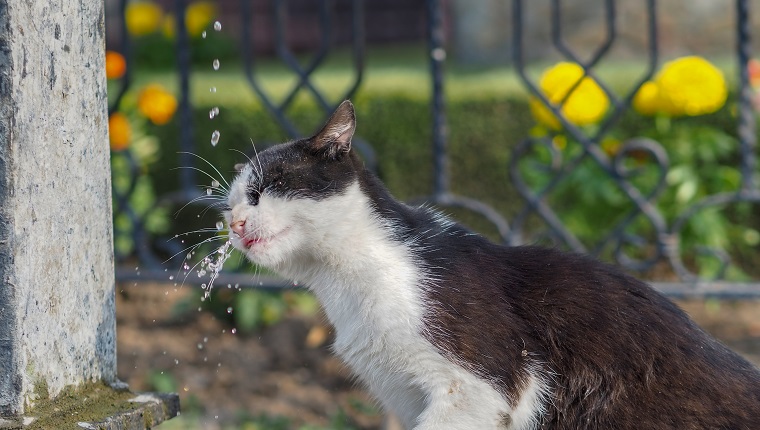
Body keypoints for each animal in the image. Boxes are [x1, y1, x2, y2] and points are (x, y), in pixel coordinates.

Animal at [224, 101, 760, 430]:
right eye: (231, 202)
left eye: (264, 189)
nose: (234, 222)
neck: (349, 278)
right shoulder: (407, 392)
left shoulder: (476, 388)